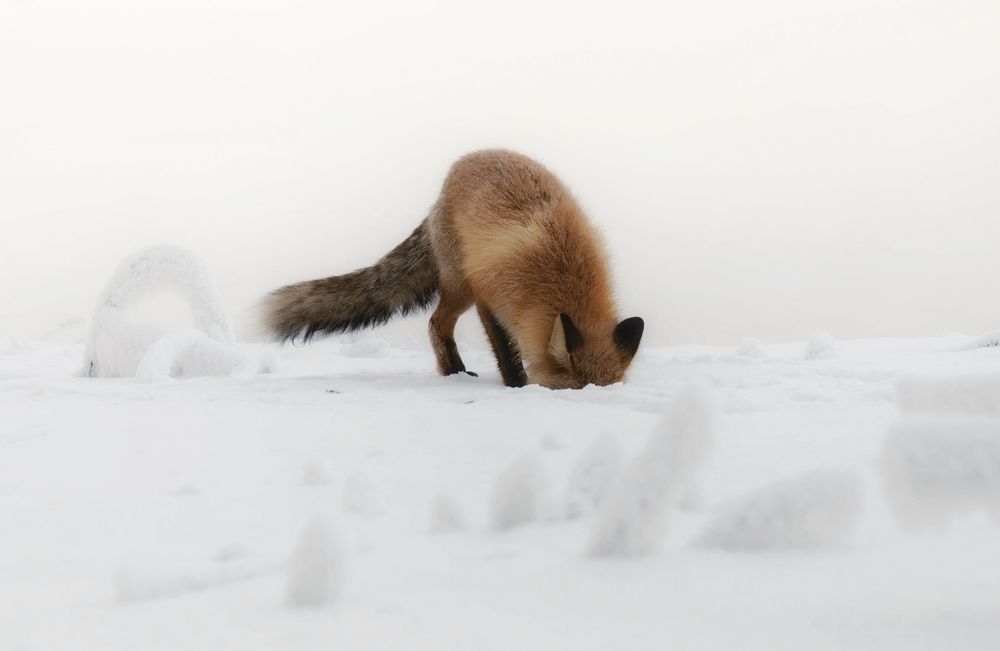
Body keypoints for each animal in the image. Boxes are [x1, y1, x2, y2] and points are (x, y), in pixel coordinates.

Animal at [265, 149, 644, 389]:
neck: (561, 270)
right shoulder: (491, 296)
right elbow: (507, 352)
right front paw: (516, 387)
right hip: (462, 286)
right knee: (436, 323)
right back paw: (453, 372)